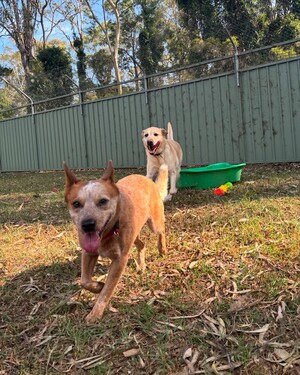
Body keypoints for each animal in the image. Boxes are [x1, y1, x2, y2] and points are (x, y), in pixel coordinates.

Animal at [63, 161, 169, 324]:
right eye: (76, 203)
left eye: (103, 201)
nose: (87, 225)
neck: (108, 234)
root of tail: (146, 179)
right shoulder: (88, 252)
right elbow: (84, 281)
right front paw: (98, 286)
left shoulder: (119, 261)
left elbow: (107, 291)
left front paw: (95, 314)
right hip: (134, 233)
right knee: (142, 244)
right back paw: (141, 264)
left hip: (154, 223)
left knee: (161, 230)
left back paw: (162, 249)